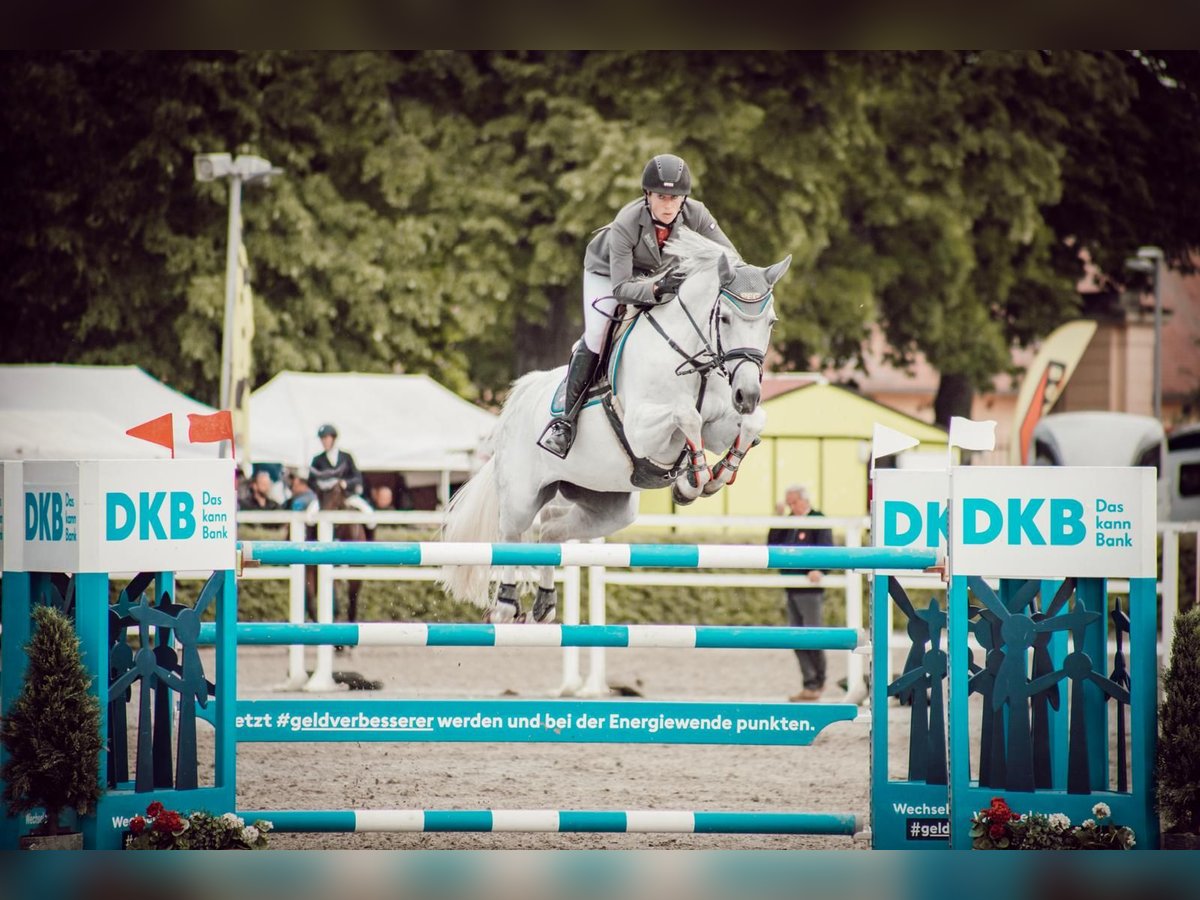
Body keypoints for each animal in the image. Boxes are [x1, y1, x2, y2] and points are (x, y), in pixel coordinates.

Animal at [436, 229, 792, 624]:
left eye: (771, 322)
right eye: (726, 319)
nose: (747, 394)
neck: (692, 360)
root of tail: (516, 401)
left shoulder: (719, 426)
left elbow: (749, 424)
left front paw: (710, 476)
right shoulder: (642, 430)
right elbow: (687, 416)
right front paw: (694, 477)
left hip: (606, 505)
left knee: (550, 530)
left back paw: (545, 604)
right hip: (521, 497)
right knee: (510, 538)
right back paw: (505, 604)